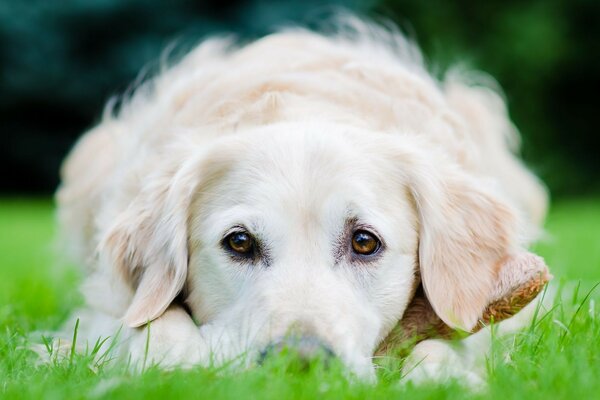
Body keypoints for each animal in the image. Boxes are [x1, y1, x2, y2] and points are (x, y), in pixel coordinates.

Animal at [55, 18, 548, 384]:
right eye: (238, 242)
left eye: (365, 242)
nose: (301, 362)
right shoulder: (105, 308)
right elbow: (154, 325)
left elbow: (446, 344)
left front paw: (442, 377)